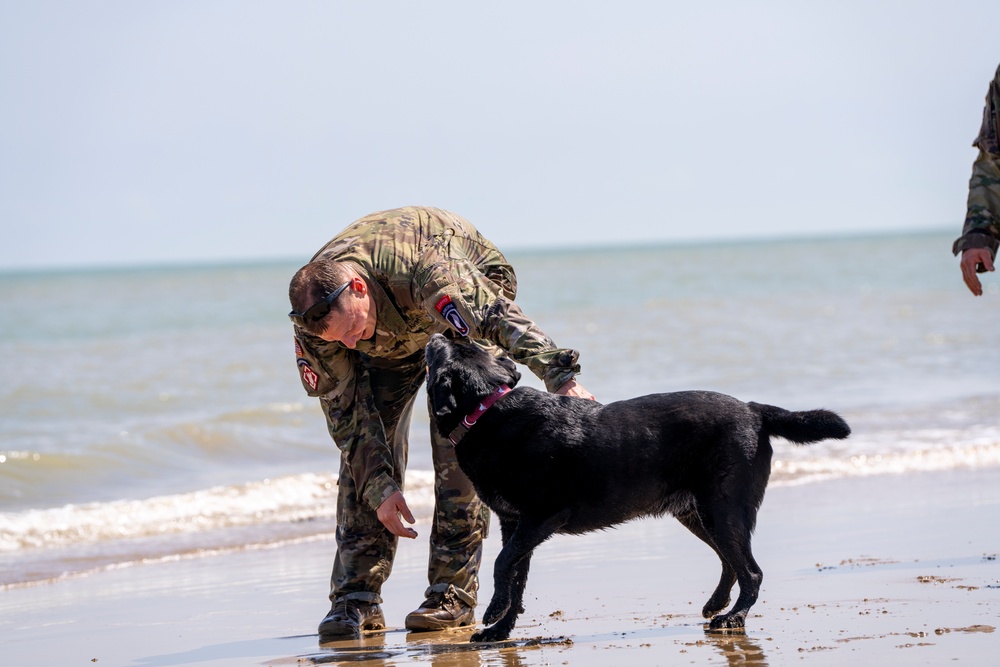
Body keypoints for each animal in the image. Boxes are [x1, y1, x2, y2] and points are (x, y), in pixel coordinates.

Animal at [424, 336, 852, 644]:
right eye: (466, 347)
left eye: (446, 353)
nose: (439, 332)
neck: (485, 410)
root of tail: (754, 409)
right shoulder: (515, 525)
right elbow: (515, 578)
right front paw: (499, 629)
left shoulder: (540, 518)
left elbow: (501, 565)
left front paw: (493, 615)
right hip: (698, 514)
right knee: (732, 563)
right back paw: (717, 606)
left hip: (722, 509)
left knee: (752, 571)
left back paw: (733, 618)